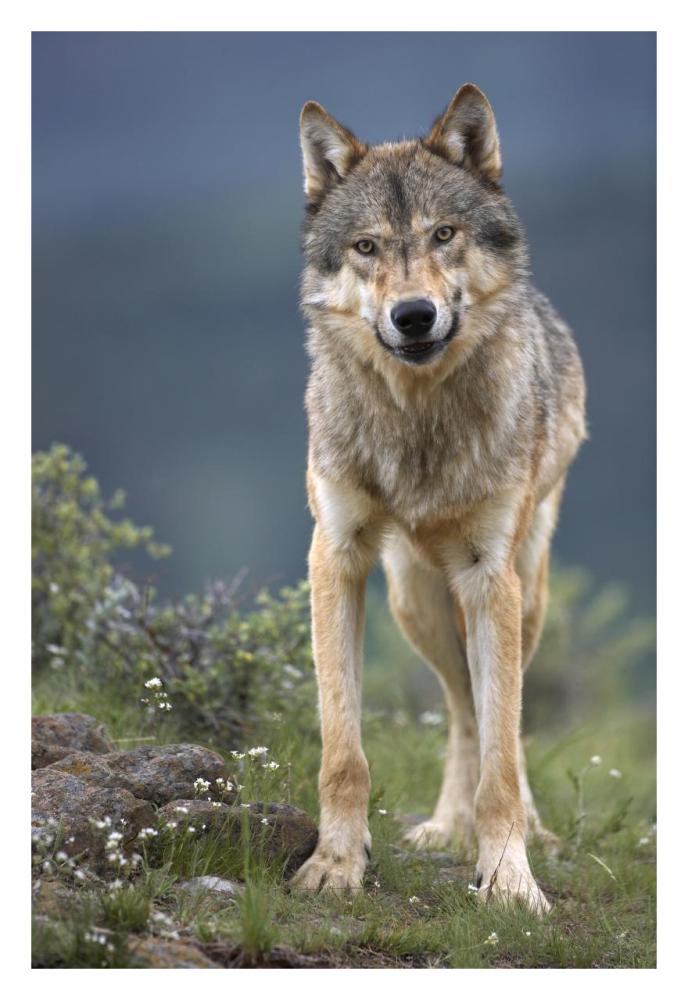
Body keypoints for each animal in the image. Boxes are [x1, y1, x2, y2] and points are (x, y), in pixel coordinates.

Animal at [291, 84, 586, 913]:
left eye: (443, 234)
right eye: (366, 247)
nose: (414, 314)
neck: (417, 426)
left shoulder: (489, 576)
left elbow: (503, 756)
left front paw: (510, 877)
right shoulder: (336, 557)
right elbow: (344, 751)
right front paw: (336, 865)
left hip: (521, 593)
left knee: (494, 722)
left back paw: (520, 834)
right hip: (414, 600)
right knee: (460, 709)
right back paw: (447, 830)